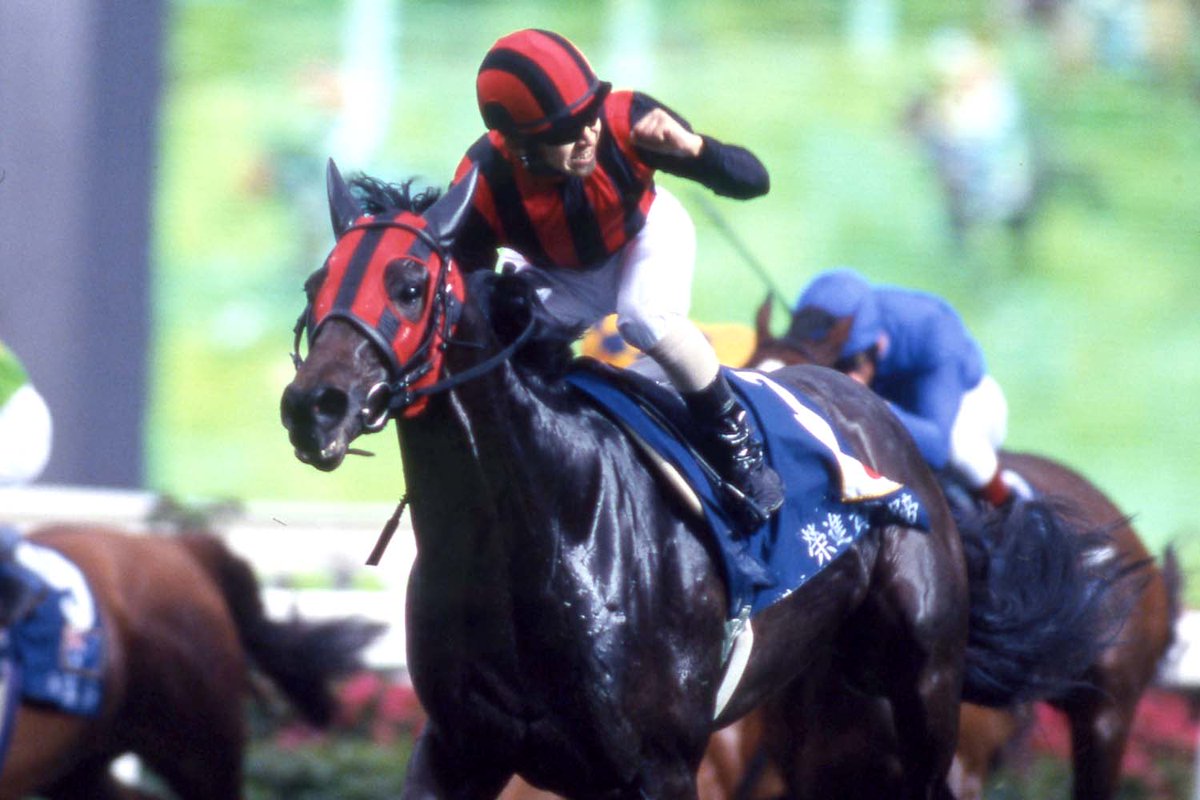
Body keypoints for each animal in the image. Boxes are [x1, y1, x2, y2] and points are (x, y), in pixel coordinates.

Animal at [280, 161, 1132, 799]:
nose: (313, 407)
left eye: (409, 284)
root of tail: (875, 414)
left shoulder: (655, 768)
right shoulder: (460, 750)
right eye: (316, 284)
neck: (544, 528)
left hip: (927, 688)